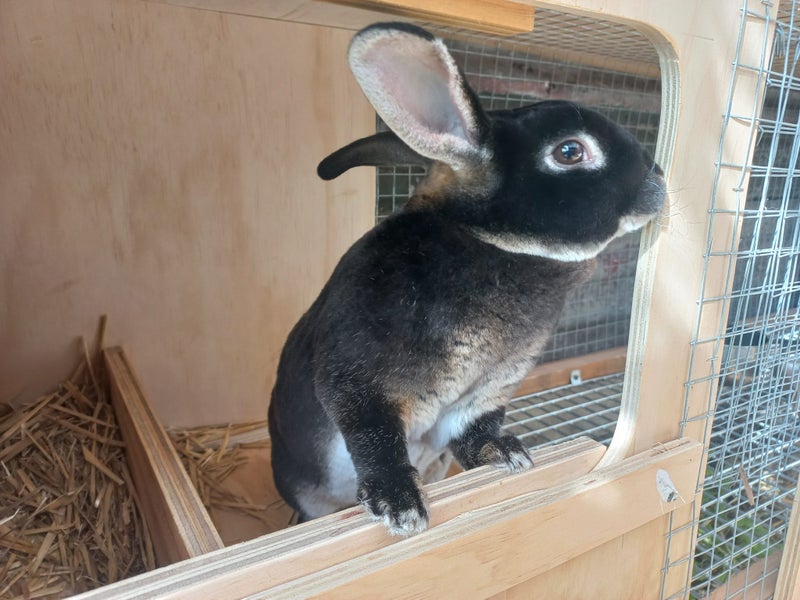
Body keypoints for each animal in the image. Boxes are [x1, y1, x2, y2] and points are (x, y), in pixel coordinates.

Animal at [268, 22, 666, 536]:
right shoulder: (358, 379)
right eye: (569, 151)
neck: (489, 242)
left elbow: (473, 431)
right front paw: (400, 505)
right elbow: (375, 438)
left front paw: (505, 454)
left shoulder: (488, 389)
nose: (659, 179)